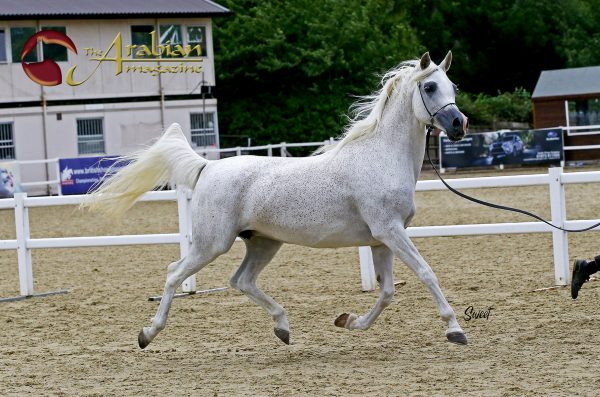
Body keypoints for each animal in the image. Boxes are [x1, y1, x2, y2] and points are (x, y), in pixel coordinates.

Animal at [85, 51, 468, 346]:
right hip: (212, 243)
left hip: (262, 242)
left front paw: (349, 321)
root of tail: (208, 167)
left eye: (453, 87)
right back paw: (148, 334)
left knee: (240, 281)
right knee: (174, 274)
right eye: (429, 86)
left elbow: (387, 291)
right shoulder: (390, 231)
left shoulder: (381, 239)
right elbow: (426, 272)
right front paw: (455, 330)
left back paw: (282, 328)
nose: (459, 124)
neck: (381, 157)